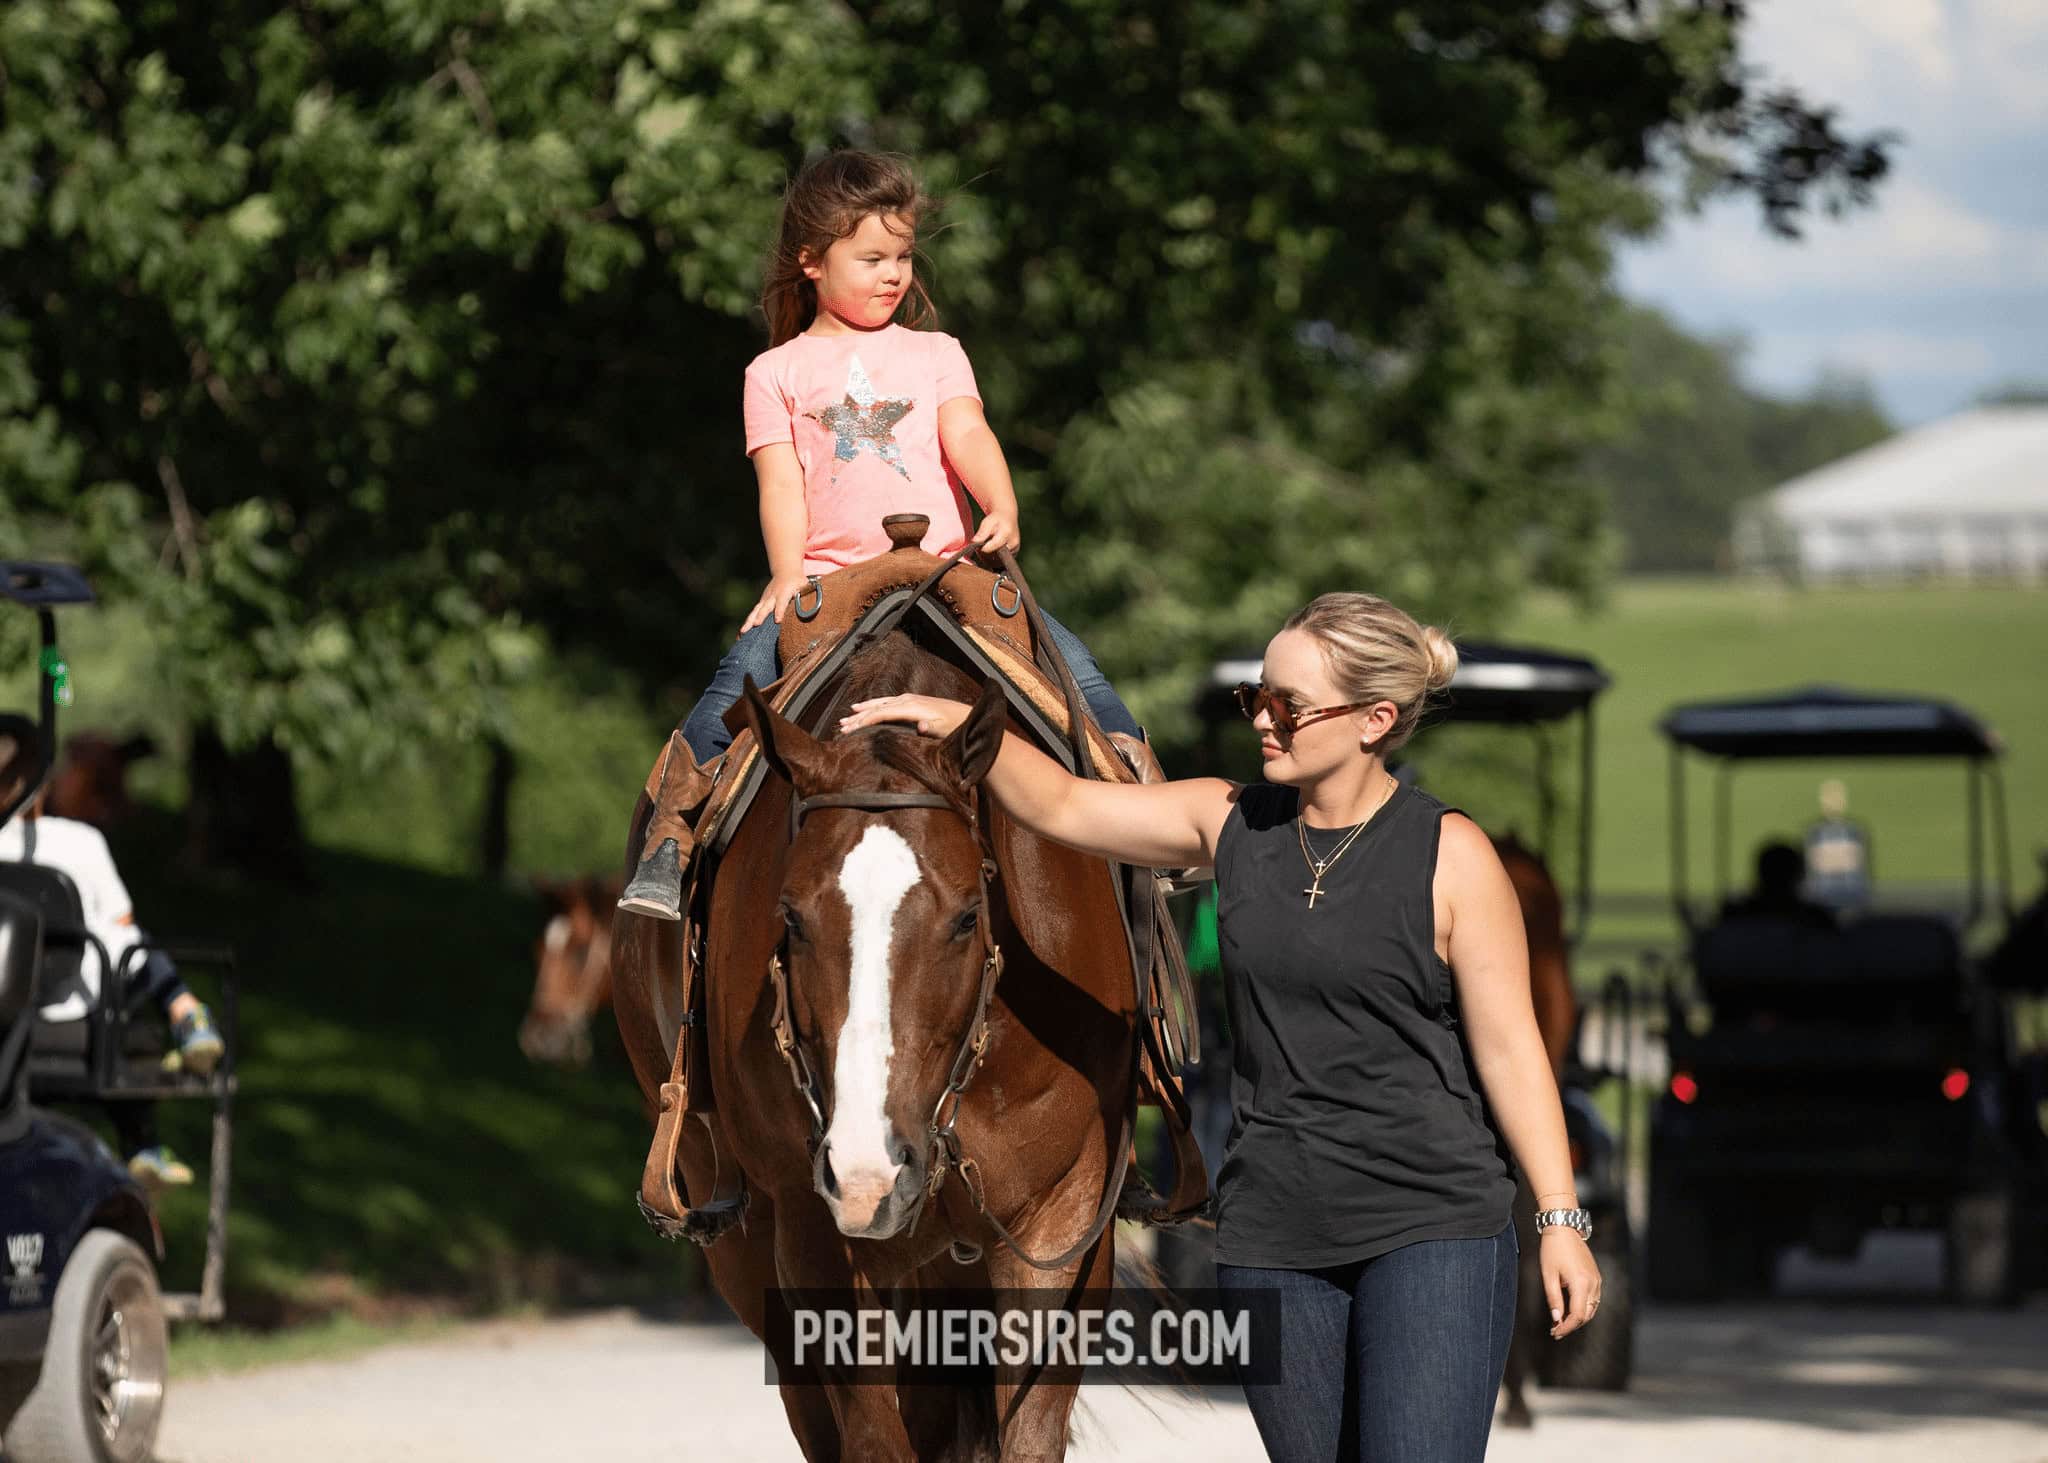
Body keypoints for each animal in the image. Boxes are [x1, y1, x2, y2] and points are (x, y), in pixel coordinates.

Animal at [611, 632, 1144, 1462]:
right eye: (790, 917)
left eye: (967, 916)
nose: (871, 1168)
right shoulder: (812, 1230)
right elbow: (869, 1435)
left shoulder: (1064, 1216)